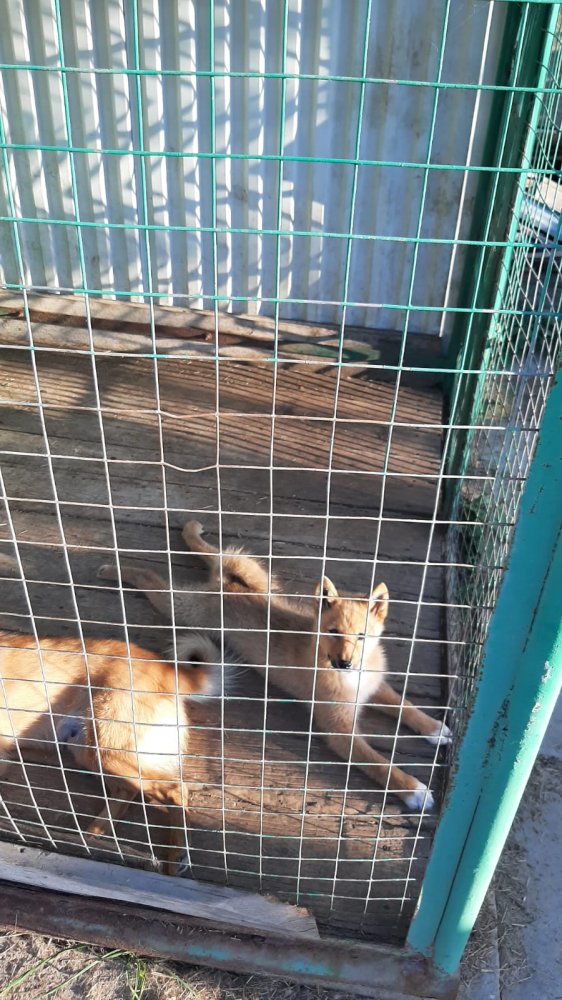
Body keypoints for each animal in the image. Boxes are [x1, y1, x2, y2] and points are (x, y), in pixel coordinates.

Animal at [0, 629, 218, 872]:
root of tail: (163, 667)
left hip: (104, 749)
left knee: (176, 788)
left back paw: (176, 854)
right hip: (87, 749)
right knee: (127, 791)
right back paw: (94, 835)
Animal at [98, 520, 451, 812]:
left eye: (361, 636)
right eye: (333, 632)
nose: (344, 662)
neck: (352, 677)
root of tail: (223, 588)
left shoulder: (375, 686)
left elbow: (406, 706)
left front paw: (434, 728)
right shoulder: (339, 732)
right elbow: (380, 764)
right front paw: (414, 789)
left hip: (256, 576)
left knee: (217, 554)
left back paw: (190, 532)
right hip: (181, 608)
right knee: (153, 579)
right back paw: (114, 568)